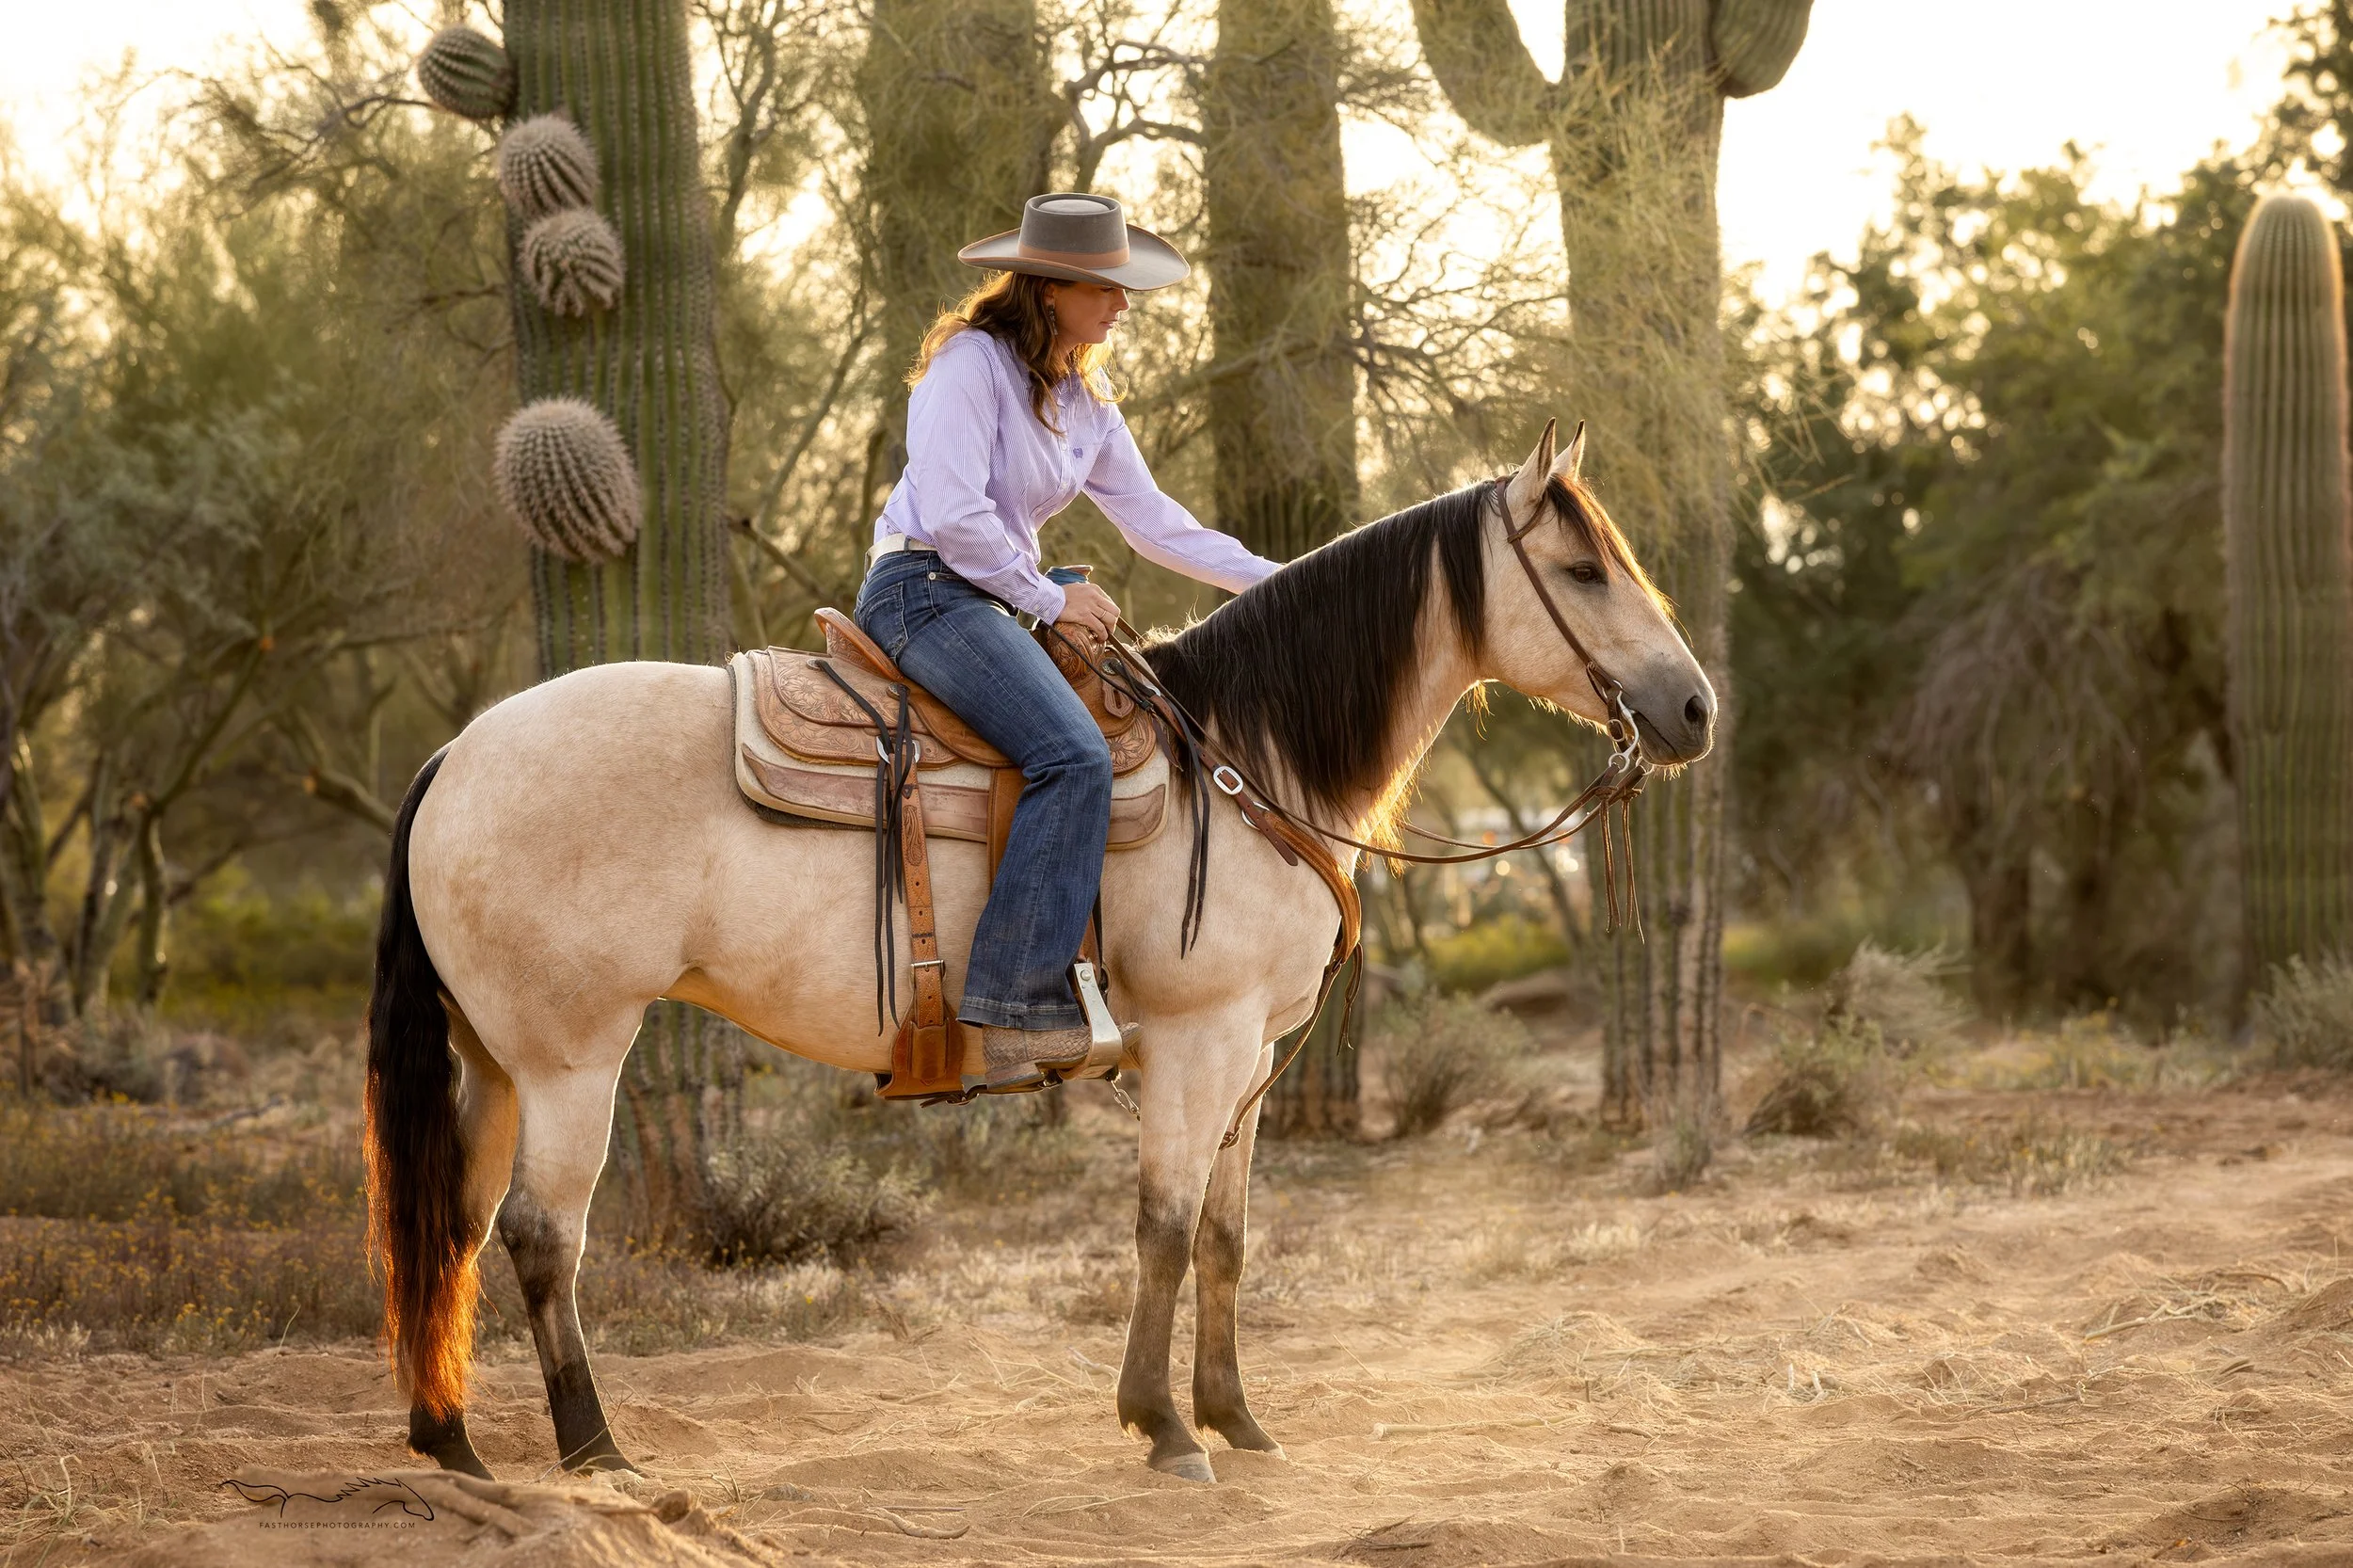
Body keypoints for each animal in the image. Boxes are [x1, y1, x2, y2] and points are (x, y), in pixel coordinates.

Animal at [364, 420, 1715, 1484]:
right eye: (1582, 567)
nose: (1696, 709)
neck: (1246, 761)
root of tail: (454, 756)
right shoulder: (1196, 1042)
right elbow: (1164, 1226)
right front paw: (1163, 1427)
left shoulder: (1248, 1062)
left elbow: (1224, 1238)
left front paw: (1237, 1417)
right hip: (571, 1059)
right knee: (542, 1234)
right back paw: (594, 1448)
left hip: (493, 1060)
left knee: (453, 1225)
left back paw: (454, 1442)